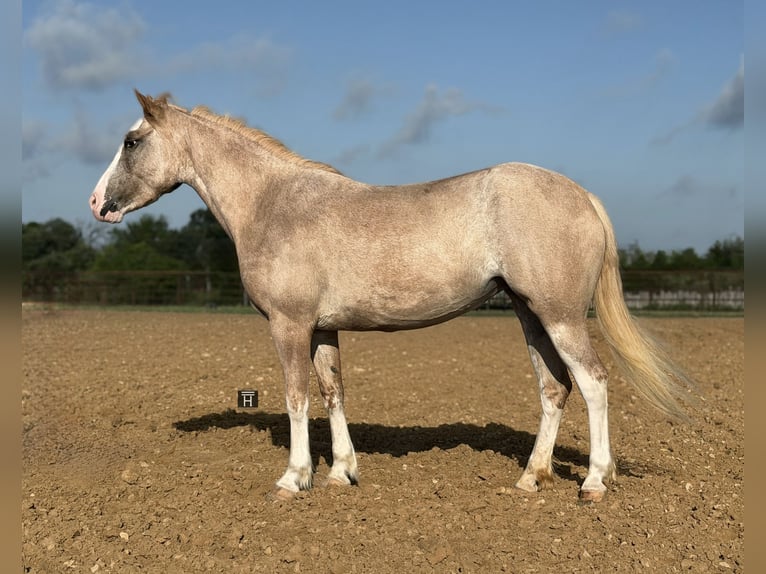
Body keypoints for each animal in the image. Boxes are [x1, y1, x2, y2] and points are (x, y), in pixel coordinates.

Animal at [89, 90, 692, 502]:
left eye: (131, 141)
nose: (96, 202)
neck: (274, 203)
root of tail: (582, 195)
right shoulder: (322, 328)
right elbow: (332, 394)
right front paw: (341, 472)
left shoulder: (289, 325)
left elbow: (296, 398)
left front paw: (294, 478)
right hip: (530, 315)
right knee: (554, 388)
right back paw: (530, 478)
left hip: (560, 315)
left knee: (592, 383)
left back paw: (593, 481)